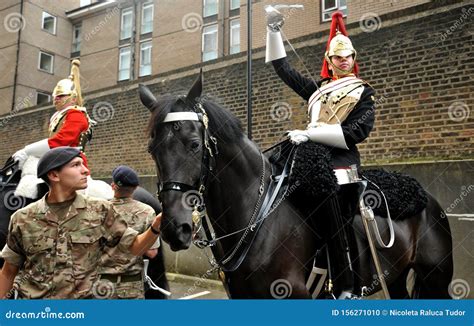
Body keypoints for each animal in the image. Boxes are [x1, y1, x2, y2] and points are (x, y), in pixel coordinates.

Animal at [139, 74, 454, 298]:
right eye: (152, 149)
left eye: (194, 144)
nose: (174, 228)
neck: (258, 217)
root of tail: (426, 196)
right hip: (397, 276)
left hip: (436, 277)